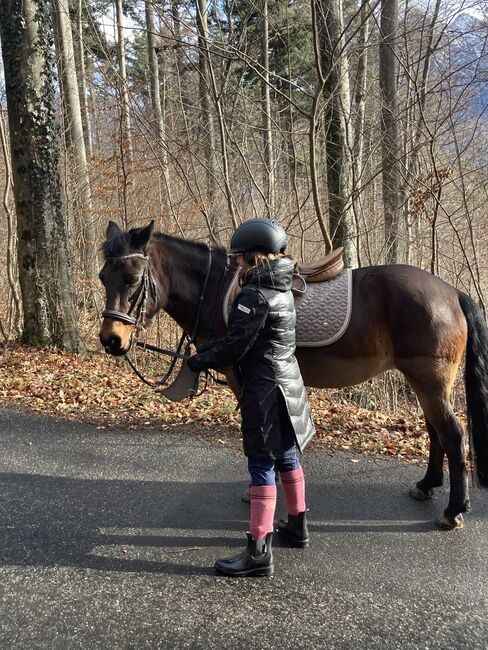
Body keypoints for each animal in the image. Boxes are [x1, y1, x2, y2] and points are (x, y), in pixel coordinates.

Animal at [99, 220, 488, 528]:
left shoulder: (244, 380)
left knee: (453, 435)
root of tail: (452, 293)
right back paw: (426, 486)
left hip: (430, 381)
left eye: (133, 278)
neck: (218, 291)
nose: (110, 340)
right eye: (104, 277)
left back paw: (454, 510)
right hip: (425, 383)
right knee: (435, 432)